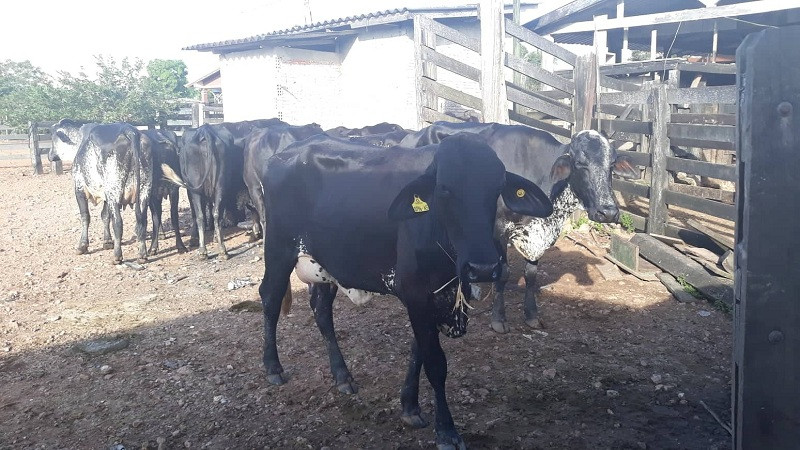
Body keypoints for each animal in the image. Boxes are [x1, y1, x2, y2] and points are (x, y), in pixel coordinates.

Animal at [72, 123, 155, 264]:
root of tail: (130, 130)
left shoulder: (79, 188)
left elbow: (85, 217)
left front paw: (82, 245)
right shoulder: (106, 196)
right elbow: (105, 216)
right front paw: (107, 241)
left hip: (114, 191)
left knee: (118, 223)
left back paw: (117, 256)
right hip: (144, 191)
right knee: (142, 220)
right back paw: (142, 255)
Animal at [260, 132, 552, 448]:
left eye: (497, 188)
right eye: (445, 189)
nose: (484, 268)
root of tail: (284, 153)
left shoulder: (432, 296)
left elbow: (418, 352)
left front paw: (409, 406)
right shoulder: (415, 292)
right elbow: (435, 363)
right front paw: (446, 431)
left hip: (327, 265)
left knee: (321, 310)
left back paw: (342, 376)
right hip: (278, 250)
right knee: (270, 298)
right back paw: (273, 368)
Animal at [400, 121, 636, 332]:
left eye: (612, 164)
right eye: (579, 163)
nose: (608, 211)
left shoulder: (536, 236)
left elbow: (531, 275)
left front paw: (531, 315)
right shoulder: (499, 230)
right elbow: (503, 273)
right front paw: (498, 319)